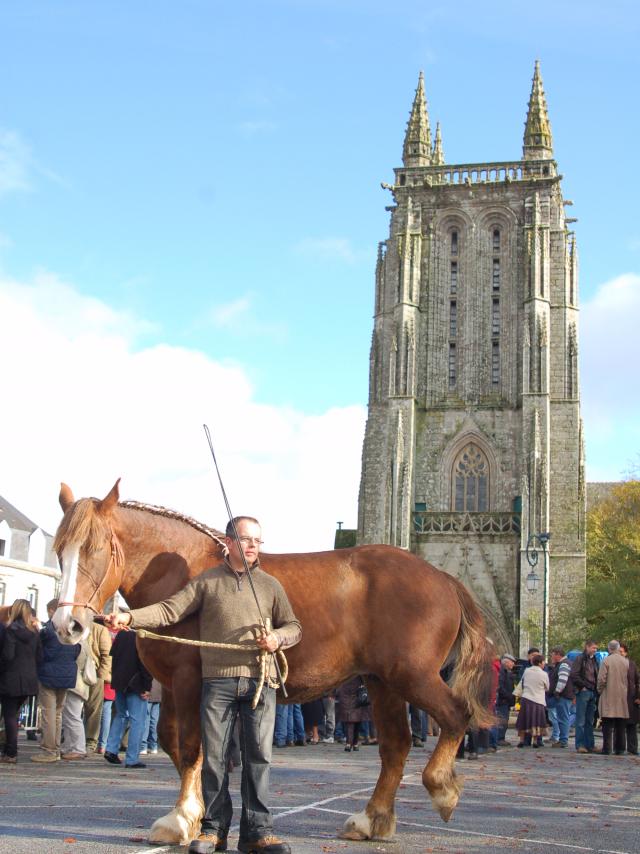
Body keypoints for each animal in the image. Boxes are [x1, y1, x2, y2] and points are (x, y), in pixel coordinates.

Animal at [52, 482, 492, 848]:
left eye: (95, 548)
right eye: (60, 551)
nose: (66, 624)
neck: (180, 569)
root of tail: (443, 578)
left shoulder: (190, 680)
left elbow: (192, 746)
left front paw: (181, 820)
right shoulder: (173, 687)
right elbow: (174, 742)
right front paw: (195, 817)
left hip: (411, 677)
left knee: (455, 715)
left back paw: (441, 789)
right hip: (382, 682)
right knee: (396, 745)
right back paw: (372, 820)